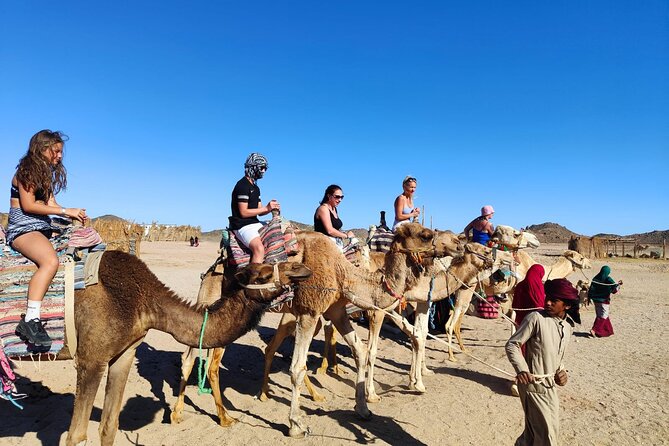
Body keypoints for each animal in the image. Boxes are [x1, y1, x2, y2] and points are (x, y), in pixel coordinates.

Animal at [64, 251, 310, 446]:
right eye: (264, 275)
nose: (302, 269)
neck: (144, 303)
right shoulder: (91, 358)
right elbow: (76, 435)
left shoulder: (124, 354)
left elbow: (109, 427)